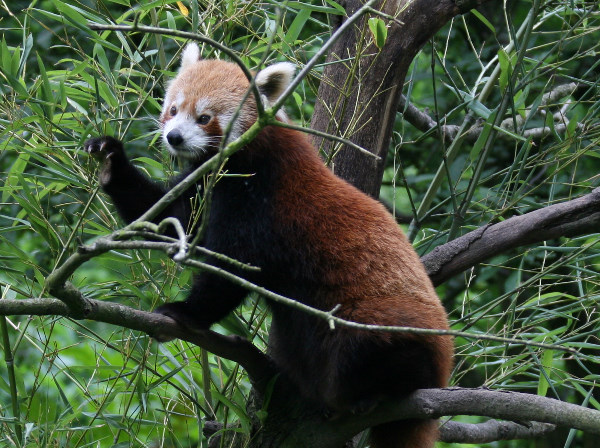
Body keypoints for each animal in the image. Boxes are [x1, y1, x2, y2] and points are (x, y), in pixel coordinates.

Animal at [83, 43, 450, 448]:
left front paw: (184, 312)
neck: (236, 160)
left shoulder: (260, 194)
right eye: (174, 109)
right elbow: (170, 219)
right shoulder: (203, 186)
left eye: (205, 117)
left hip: (381, 322)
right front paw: (111, 161)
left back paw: (380, 391)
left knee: (370, 347)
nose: (174, 137)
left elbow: (232, 266)